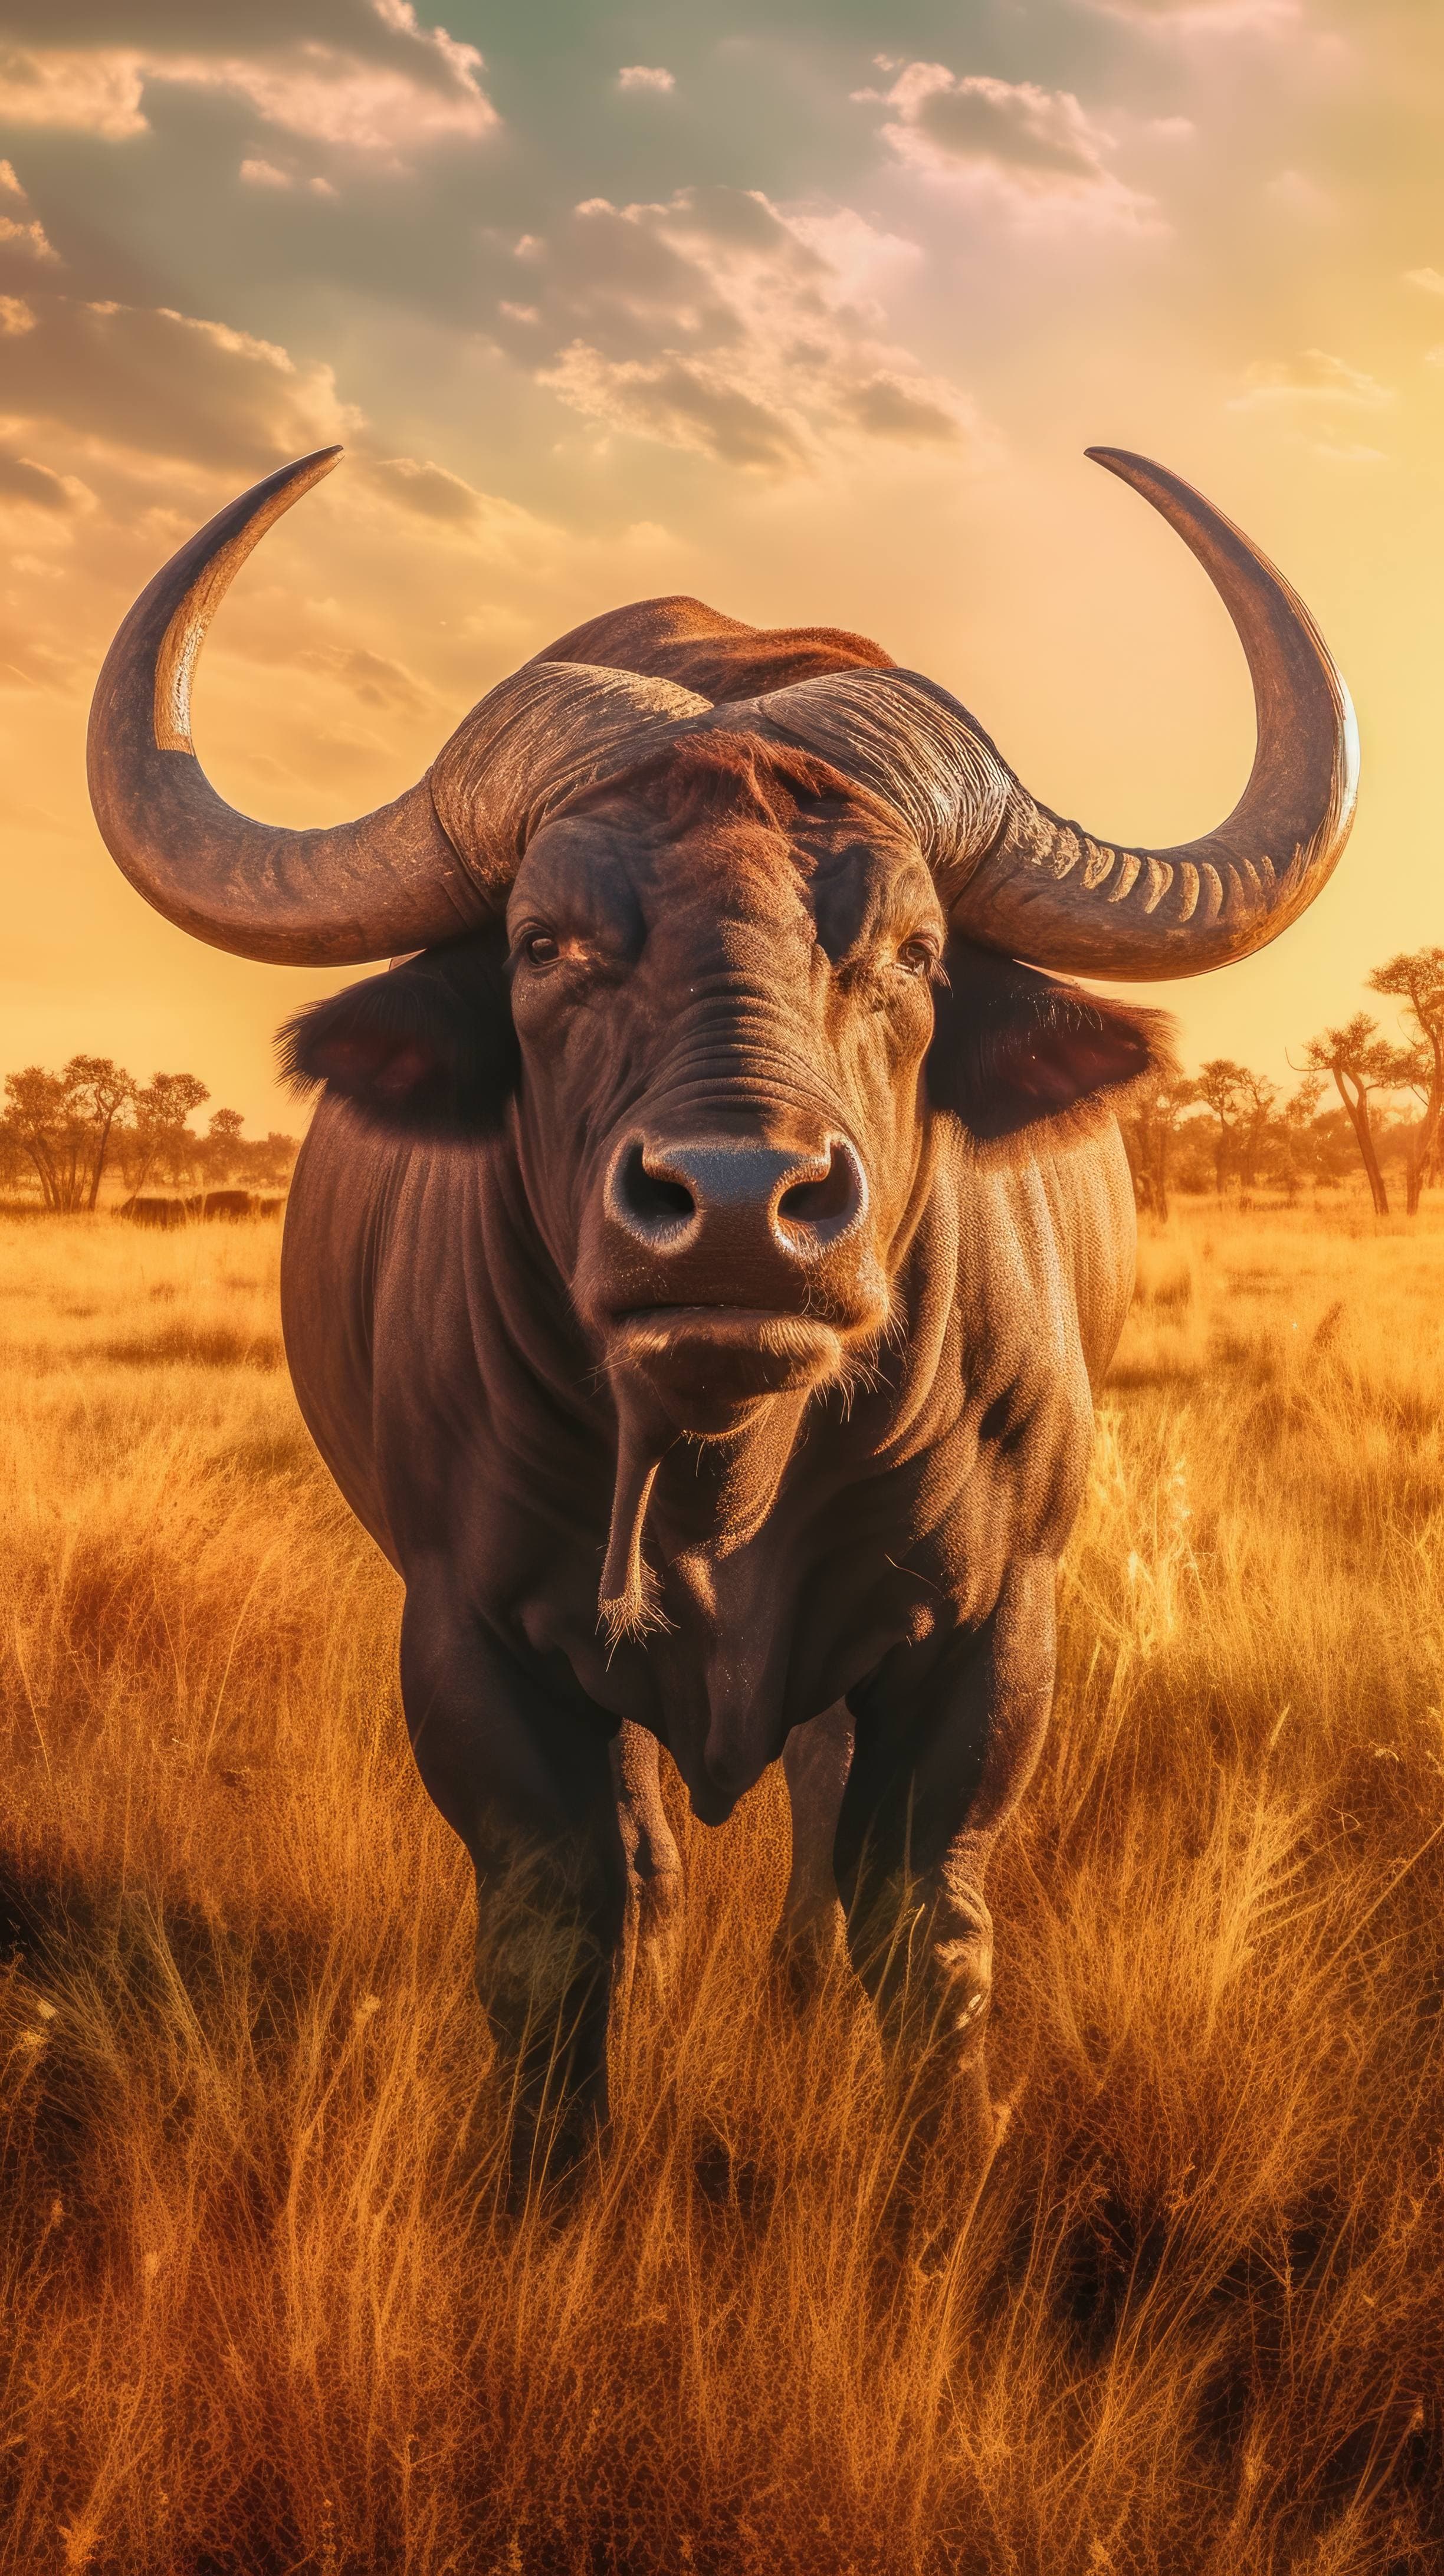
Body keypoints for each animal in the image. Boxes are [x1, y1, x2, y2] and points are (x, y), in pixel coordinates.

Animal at [88, 445, 1355, 2194]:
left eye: (912, 947)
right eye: (546, 941)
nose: (743, 1202)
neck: (727, 1467)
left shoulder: (990, 1630)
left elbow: (923, 1923)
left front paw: (939, 2189)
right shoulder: (470, 1638)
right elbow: (558, 1922)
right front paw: (548, 2190)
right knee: (642, 1858)